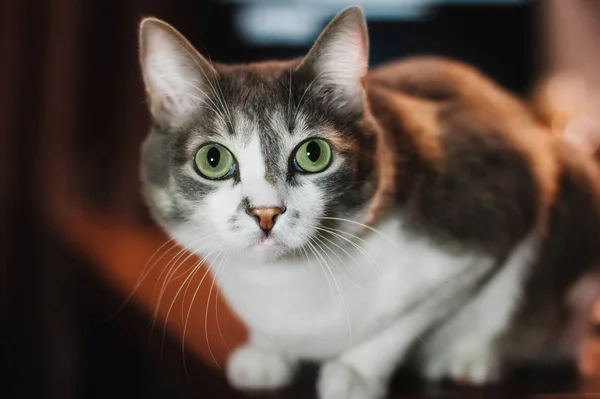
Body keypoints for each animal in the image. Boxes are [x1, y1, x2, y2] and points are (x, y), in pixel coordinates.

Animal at [138, 6, 600, 399]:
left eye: (313, 154)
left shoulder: (484, 220)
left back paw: (471, 359)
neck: (287, 283)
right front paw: (267, 352)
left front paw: (356, 372)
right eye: (213, 159)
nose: (266, 212)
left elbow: (404, 320)